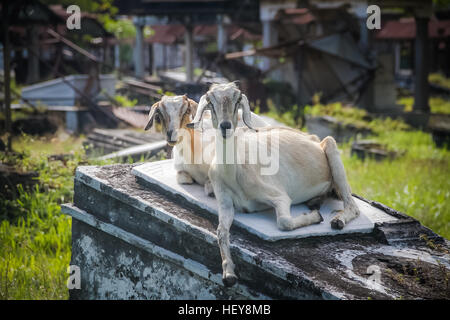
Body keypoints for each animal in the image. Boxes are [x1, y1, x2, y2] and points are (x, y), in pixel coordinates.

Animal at [188, 83, 360, 288]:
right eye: (211, 102)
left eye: (237, 100)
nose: (225, 126)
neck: (235, 170)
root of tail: (312, 138)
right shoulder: (224, 201)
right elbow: (221, 230)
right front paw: (229, 273)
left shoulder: (279, 195)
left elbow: (284, 222)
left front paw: (315, 217)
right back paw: (315, 201)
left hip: (332, 149)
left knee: (353, 205)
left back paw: (337, 220)